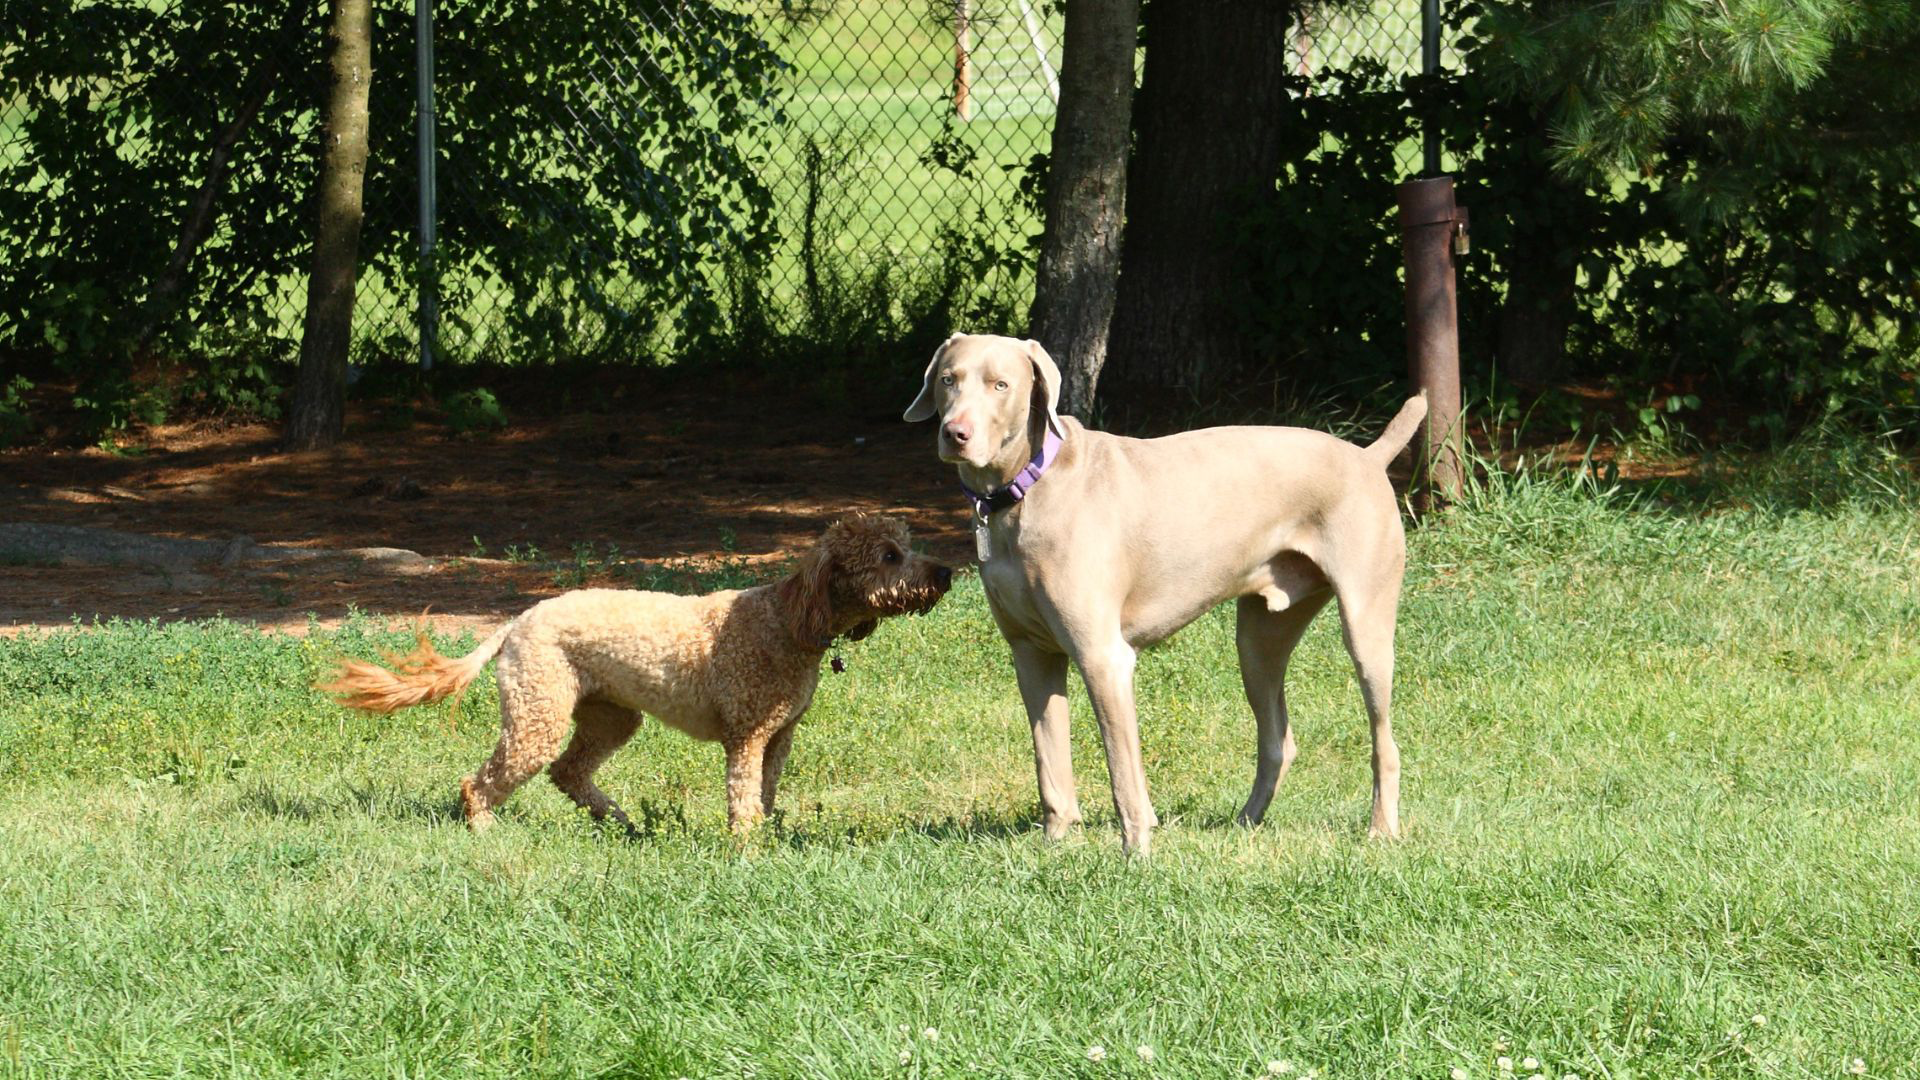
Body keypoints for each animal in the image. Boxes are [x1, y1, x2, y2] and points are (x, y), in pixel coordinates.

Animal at [320, 511, 952, 834]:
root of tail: (517, 621)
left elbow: (765, 795)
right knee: (484, 781)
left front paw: (767, 838)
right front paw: (747, 850)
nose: (945, 572)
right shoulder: (746, 735)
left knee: (569, 773)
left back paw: (620, 821)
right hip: (538, 714)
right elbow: (743, 796)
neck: (788, 620)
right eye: (889, 556)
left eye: (904, 546)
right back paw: (485, 829)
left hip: (611, 717)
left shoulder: (779, 737)